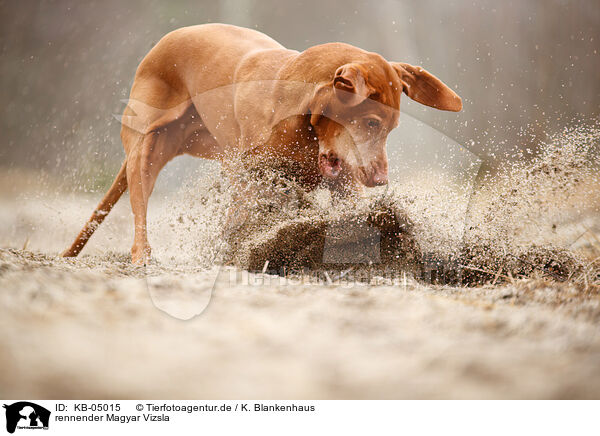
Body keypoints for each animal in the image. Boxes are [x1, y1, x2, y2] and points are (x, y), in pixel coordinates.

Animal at [63, 23, 462, 264]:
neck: (302, 115)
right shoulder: (252, 177)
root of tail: (163, 42)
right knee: (140, 209)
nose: (380, 180)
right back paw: (142, 254)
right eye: (371, 122)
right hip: (145, 148)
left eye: (390, 128)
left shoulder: (344, 183)